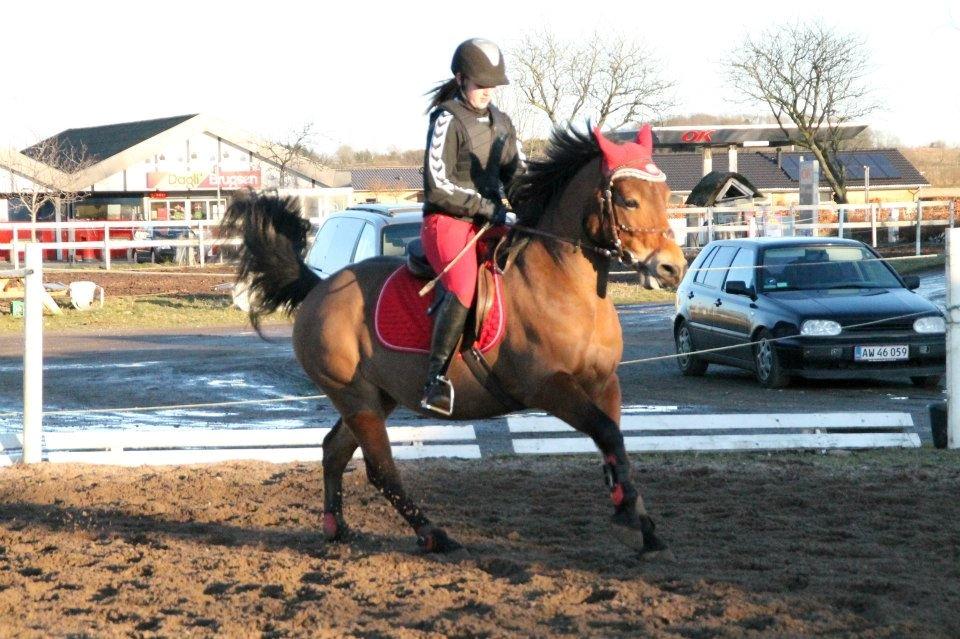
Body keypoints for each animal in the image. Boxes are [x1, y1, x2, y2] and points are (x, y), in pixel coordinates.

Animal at [221, 125, 688, 556]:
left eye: (666, 194)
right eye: (628, 200)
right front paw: (631, 521)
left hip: (376, 398)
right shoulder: (548, 387)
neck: (566, 286)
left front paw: (639, 522)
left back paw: (337, 528)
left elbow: (615, 445)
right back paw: (433, 534)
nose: (672, 268)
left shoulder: (604, 382)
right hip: (355, 398)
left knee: (334, 451)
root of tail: (318, 286)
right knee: (380, 469)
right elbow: (608, 435)